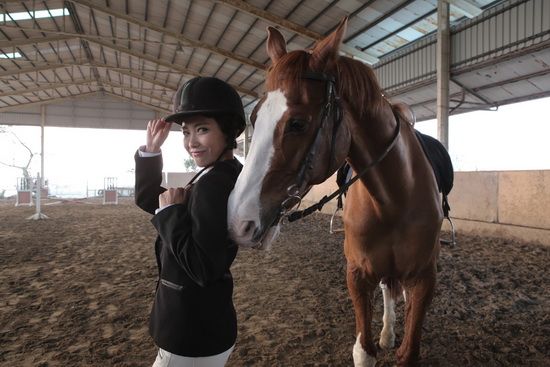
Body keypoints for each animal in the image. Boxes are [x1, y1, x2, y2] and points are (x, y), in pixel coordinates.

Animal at [229, 17, 448, 367]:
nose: (238, 222)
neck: (394, 198)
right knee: (387, 288)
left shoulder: (425, 279)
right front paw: (381, 339)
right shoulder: (357, 275)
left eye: (298, 123)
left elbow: (409, 350)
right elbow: (364, 350)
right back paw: (387, 333)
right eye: (254, 118)